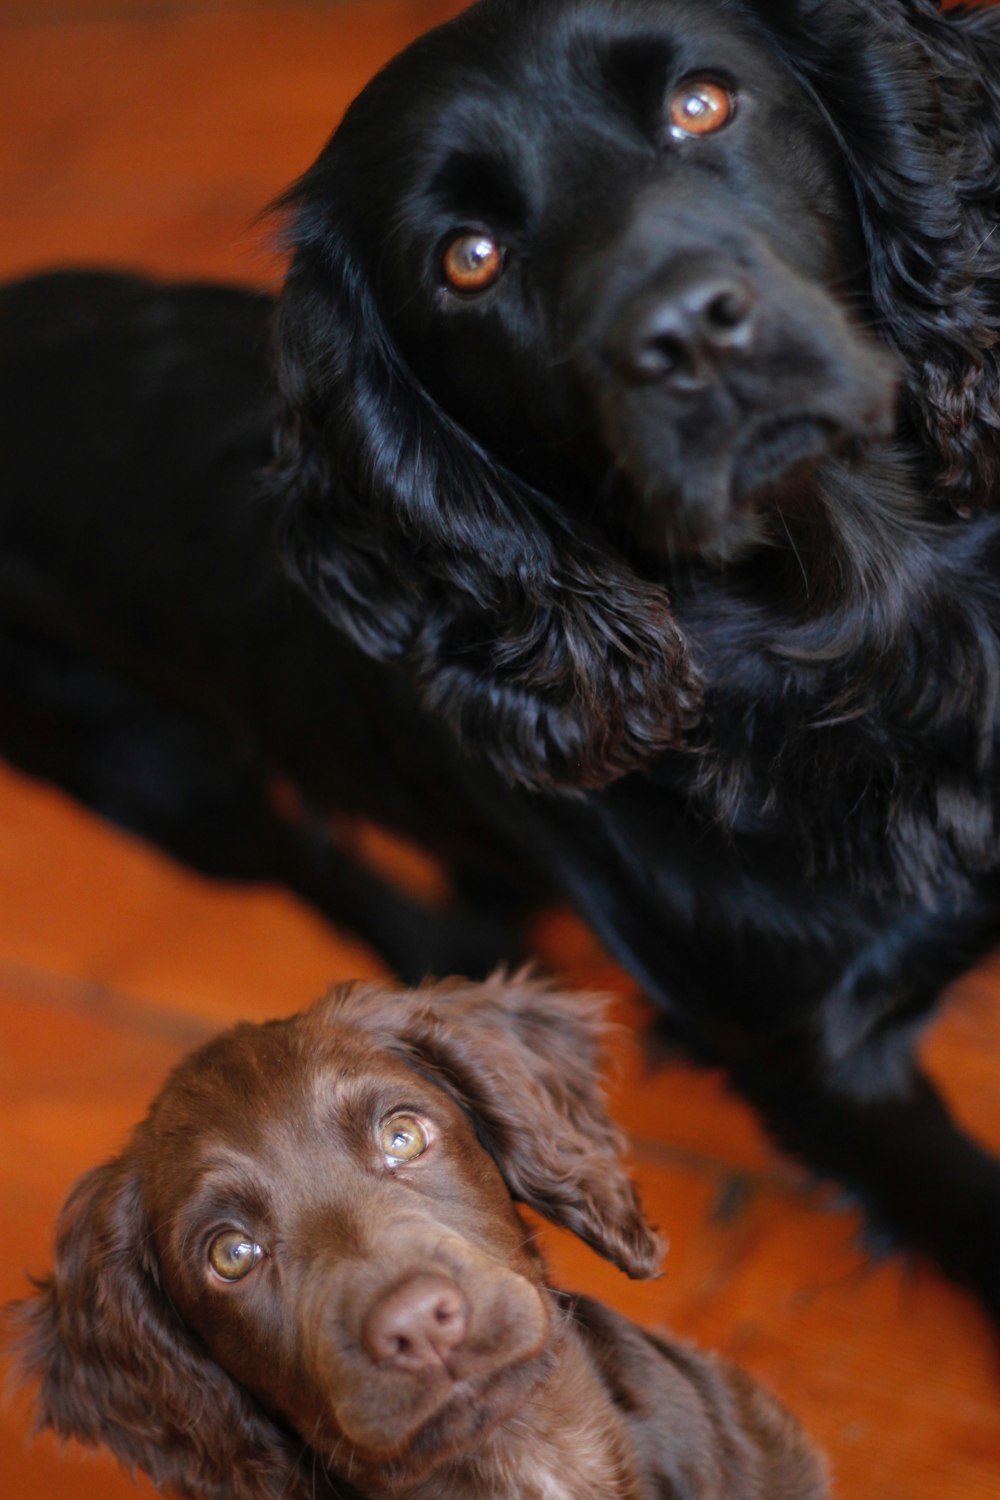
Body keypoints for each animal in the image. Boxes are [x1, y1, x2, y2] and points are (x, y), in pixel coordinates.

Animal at [1, 0, 1000, 1320]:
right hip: (166, 784)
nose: (686, 332)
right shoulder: (823, 1075)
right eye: (466, 259)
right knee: (311, 864)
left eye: (702, 104)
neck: (861, 629)